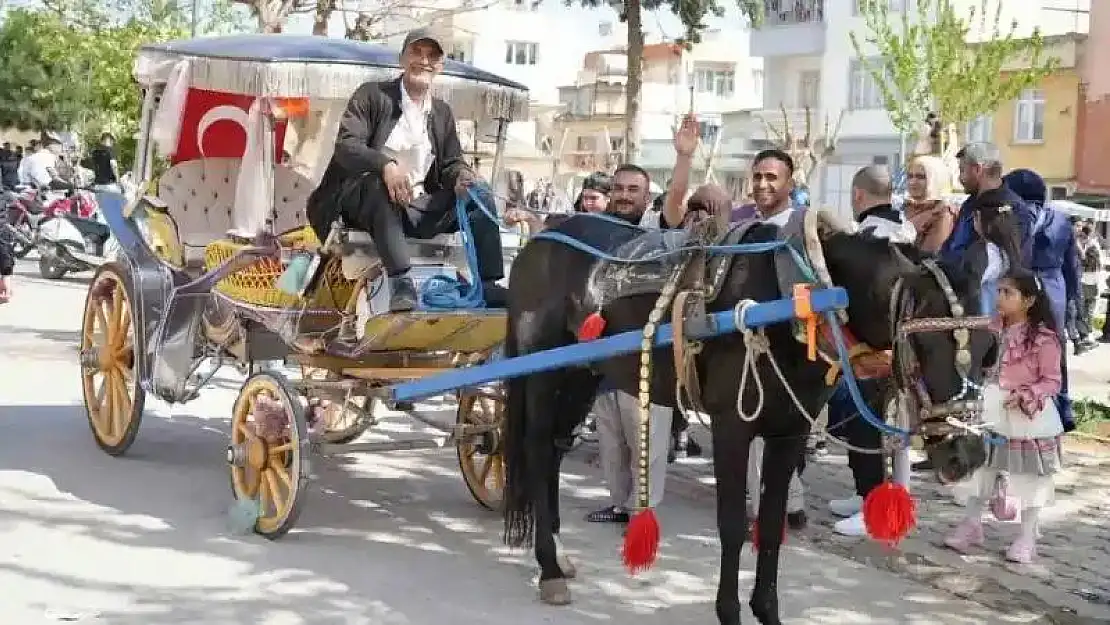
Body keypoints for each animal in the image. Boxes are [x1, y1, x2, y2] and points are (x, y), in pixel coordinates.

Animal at [503, 212, 999, 625]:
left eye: (989, 350)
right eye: (926, 345)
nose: (967, 453)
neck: (805, 297)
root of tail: (541, 236)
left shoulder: (789, 431)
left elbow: (773, 524)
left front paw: (768, 611)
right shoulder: (733, 426)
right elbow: (732, 526)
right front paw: (729, 612)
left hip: (583, 374)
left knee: (553, 451)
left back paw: (558, 554)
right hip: (542, 370)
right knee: (537, 448)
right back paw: (549, 568)